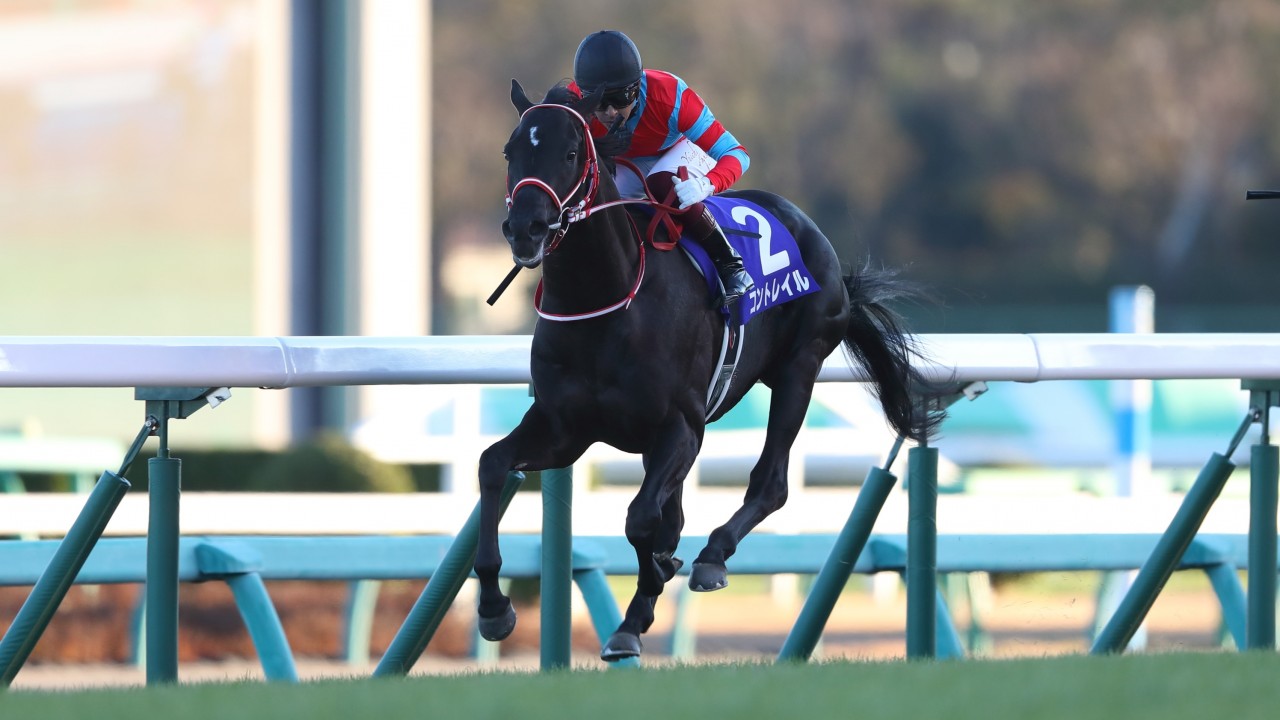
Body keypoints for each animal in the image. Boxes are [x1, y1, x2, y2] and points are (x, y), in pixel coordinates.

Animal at [474, 79, 942, 661]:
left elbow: (642, 518)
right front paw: (494, 607)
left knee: (770, 484)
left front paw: (651, 587)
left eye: (571, 153)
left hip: (799, 368)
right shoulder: (565, 428)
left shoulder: (681, 426)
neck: (608, 300)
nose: (526, 228)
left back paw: (711, 557)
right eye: (510, 151)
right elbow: (493, 466)